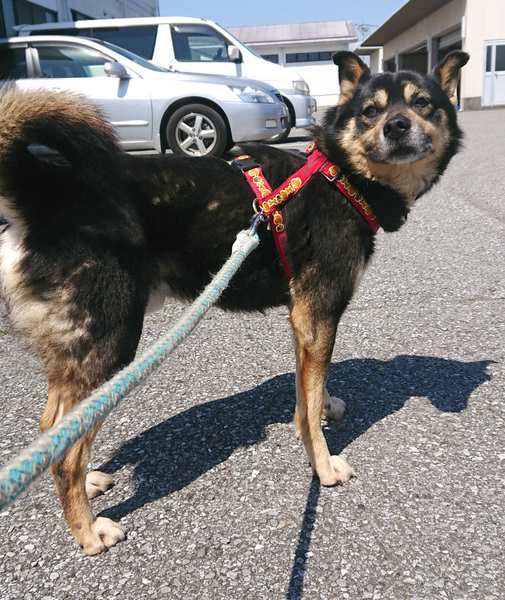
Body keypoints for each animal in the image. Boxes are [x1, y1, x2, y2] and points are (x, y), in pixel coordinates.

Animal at [0, 50, 468, 554]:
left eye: (422, 103)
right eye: (370, 111)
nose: (397, 126)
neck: (340, 176)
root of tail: (46, 193)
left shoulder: (302, 318)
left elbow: (308, 389)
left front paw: (323, 408)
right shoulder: (318, 311)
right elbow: (309, 408)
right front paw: (322, 466)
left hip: (78, 350)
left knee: (54, 428)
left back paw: (85, 483)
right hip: (109, 342)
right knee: (65, 455)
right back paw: (88, 531)